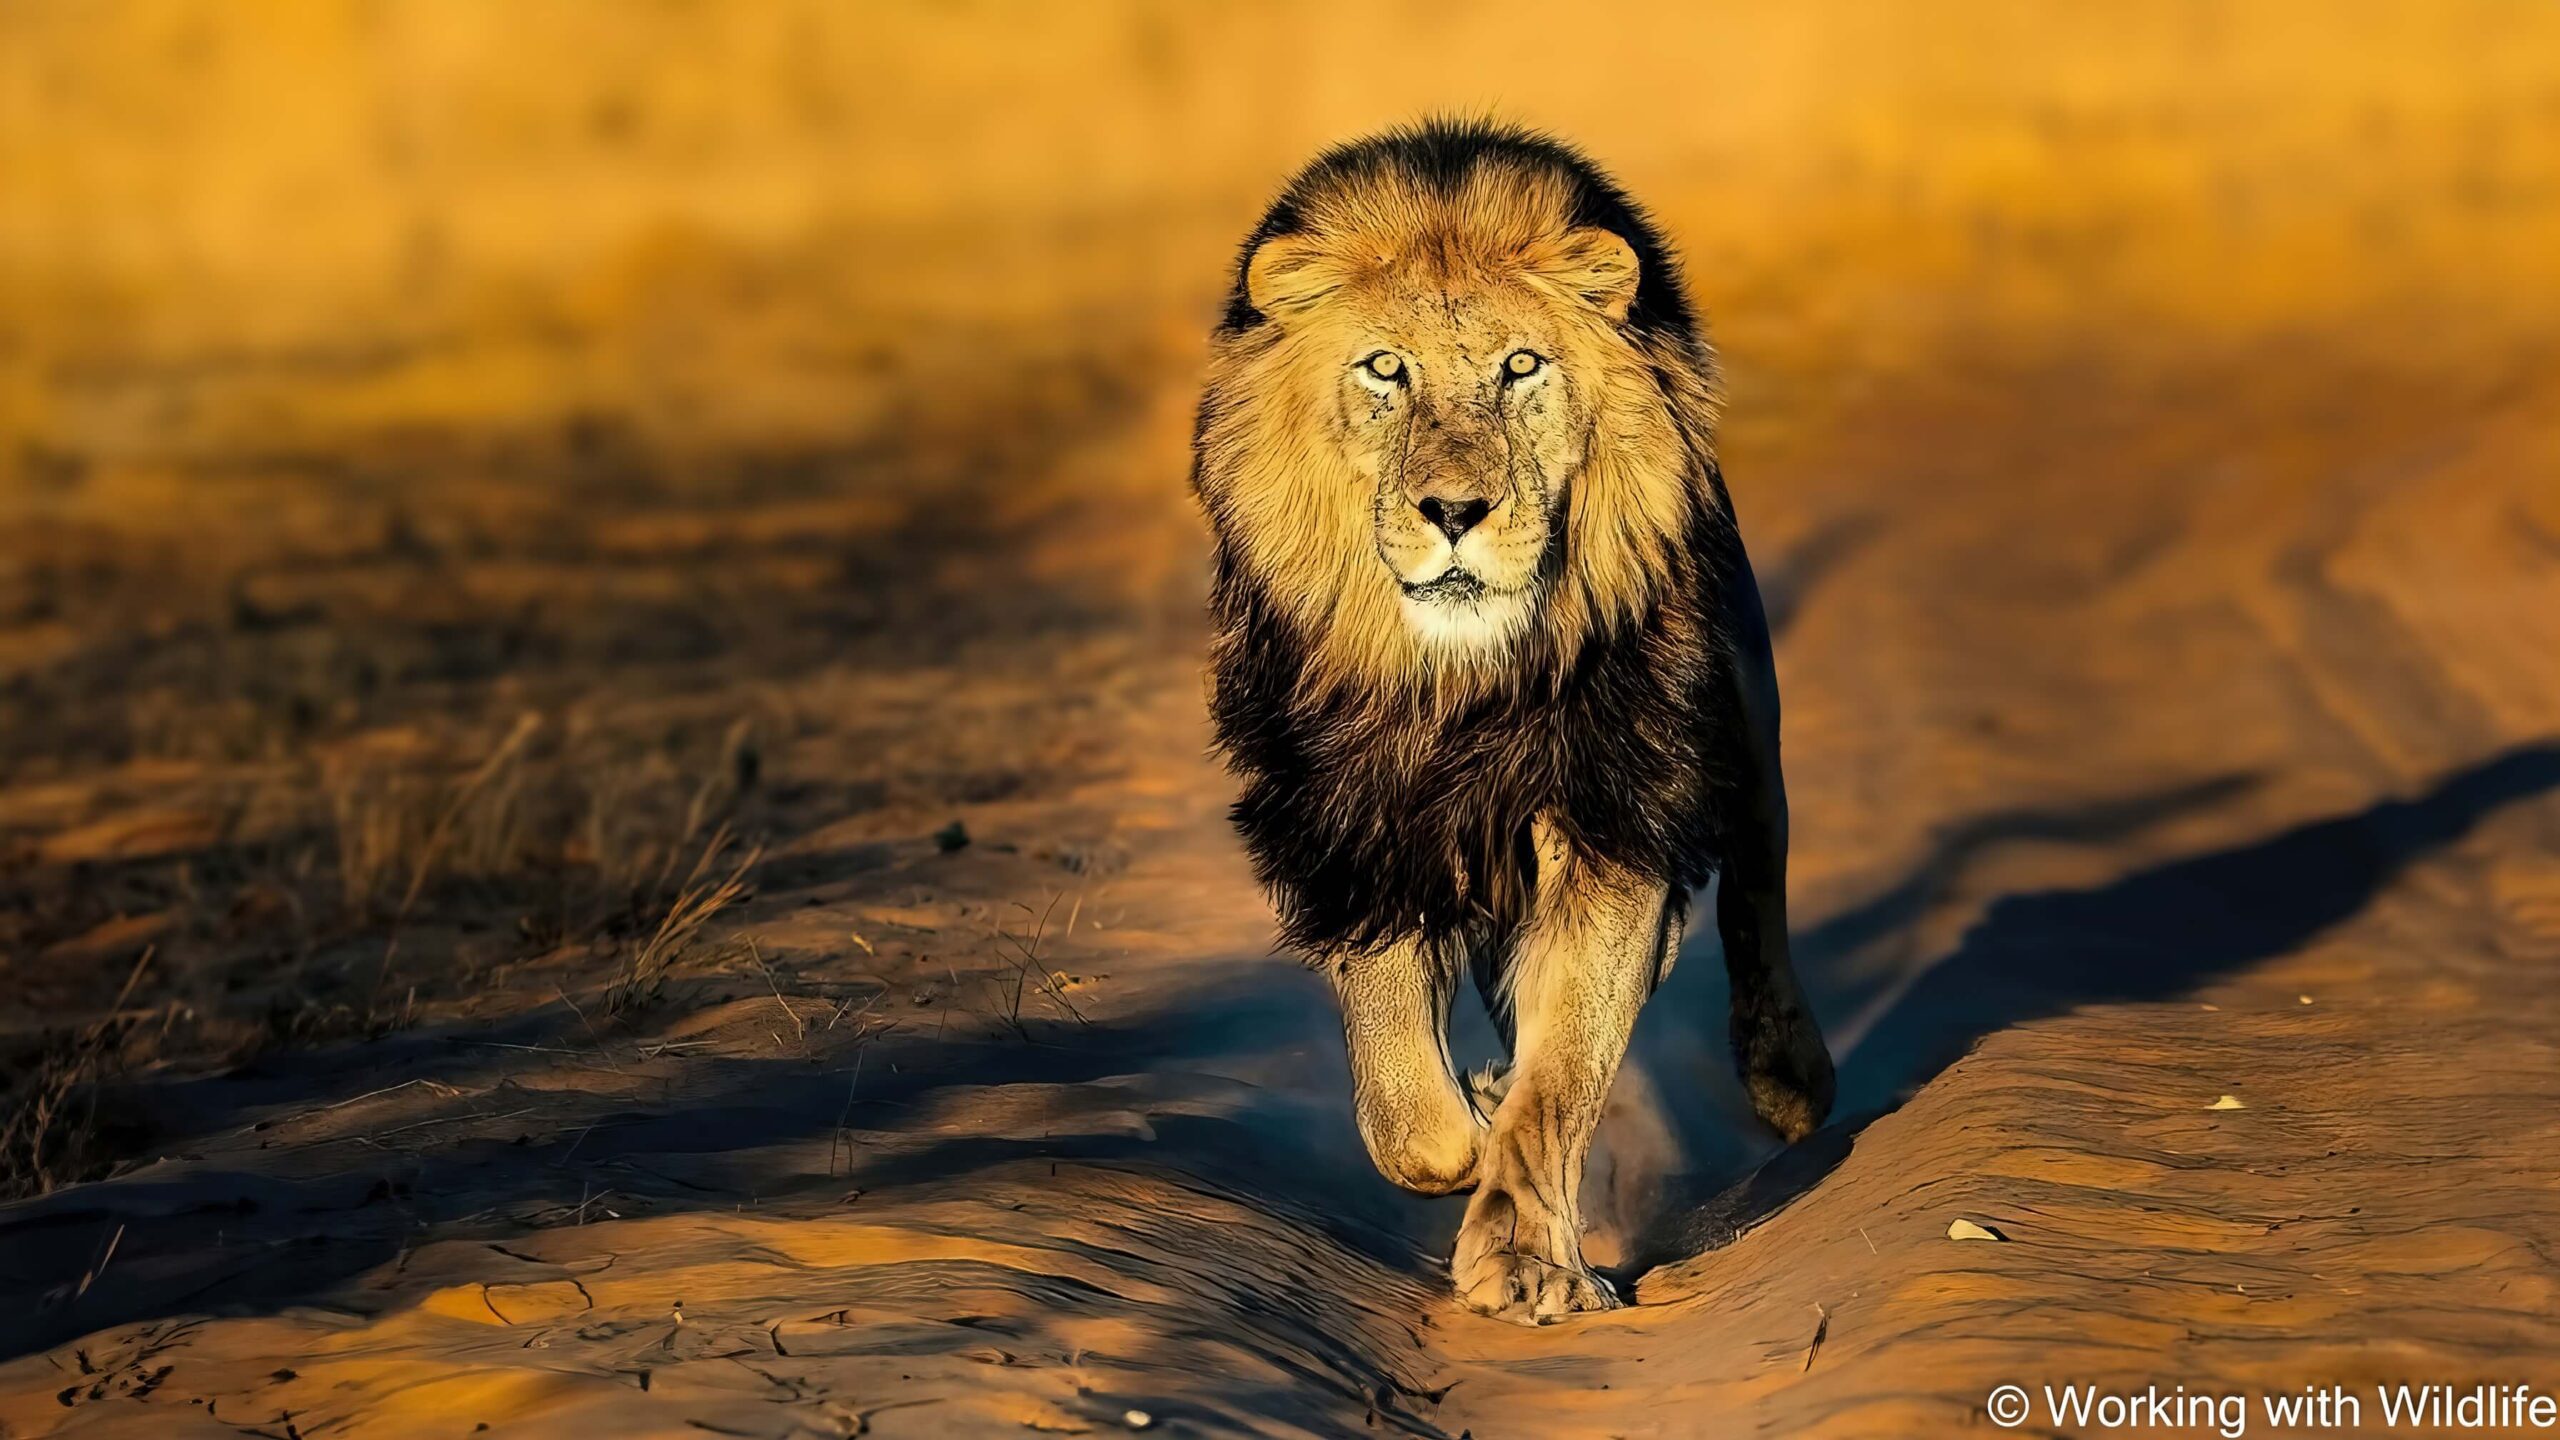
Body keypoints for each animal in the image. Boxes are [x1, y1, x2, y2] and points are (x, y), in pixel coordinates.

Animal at [1190, 120, 1837, 1324]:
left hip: (1738, 700)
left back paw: (1789, 1077)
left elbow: (1564, 1068)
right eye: (1384, 370)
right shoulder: (1356, 826)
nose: (1455, 511)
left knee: (1758, 873)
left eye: (1521, 368)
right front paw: (1467, 1128)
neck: (1465, 681)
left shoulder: (1610, 810)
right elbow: (1406, 1103)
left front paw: (1528, 1262)